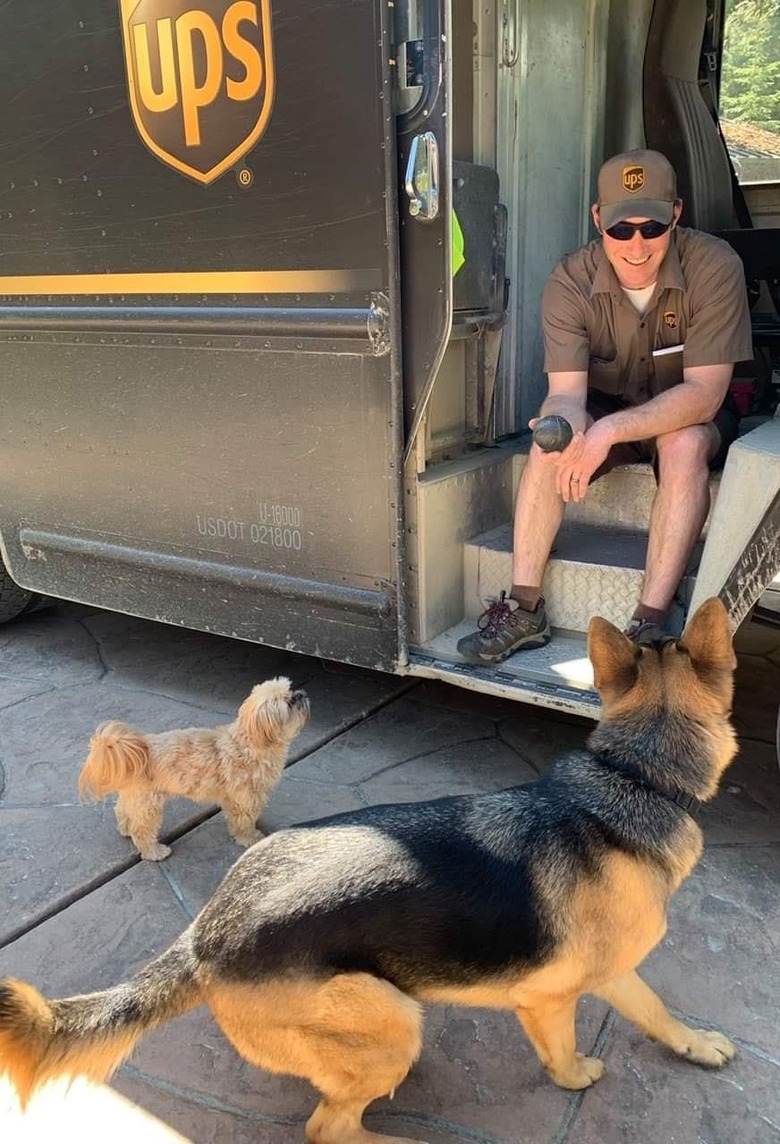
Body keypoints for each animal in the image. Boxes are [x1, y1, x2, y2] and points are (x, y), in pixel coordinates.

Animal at [77, 677, 308, 860]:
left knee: (123, 811)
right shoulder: (243, 798)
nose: (301, 694)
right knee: (141, 830)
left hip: (135, 798)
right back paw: (154, 852)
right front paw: (250, 838)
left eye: (290, 689)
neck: (252, 743)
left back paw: (125, 828)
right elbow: (243, 822)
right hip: (149, 805)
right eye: (289, 703)